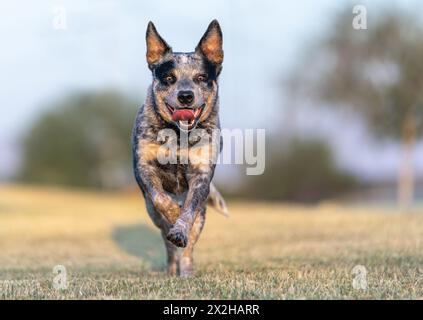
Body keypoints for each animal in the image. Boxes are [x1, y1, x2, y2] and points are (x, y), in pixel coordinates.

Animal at [134, 20, 230, 276]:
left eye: (201, 77)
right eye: (169, 78)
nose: (185, 96)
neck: (178, 136)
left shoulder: (201, 174)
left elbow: (189, 212)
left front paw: (180, 226)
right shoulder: (143, 166)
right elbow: (160, 198)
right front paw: (174, 214)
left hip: (203, 214)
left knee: (188, 248)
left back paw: (186, 272)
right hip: (150, 213)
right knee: (167, 243)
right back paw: (170, 269)